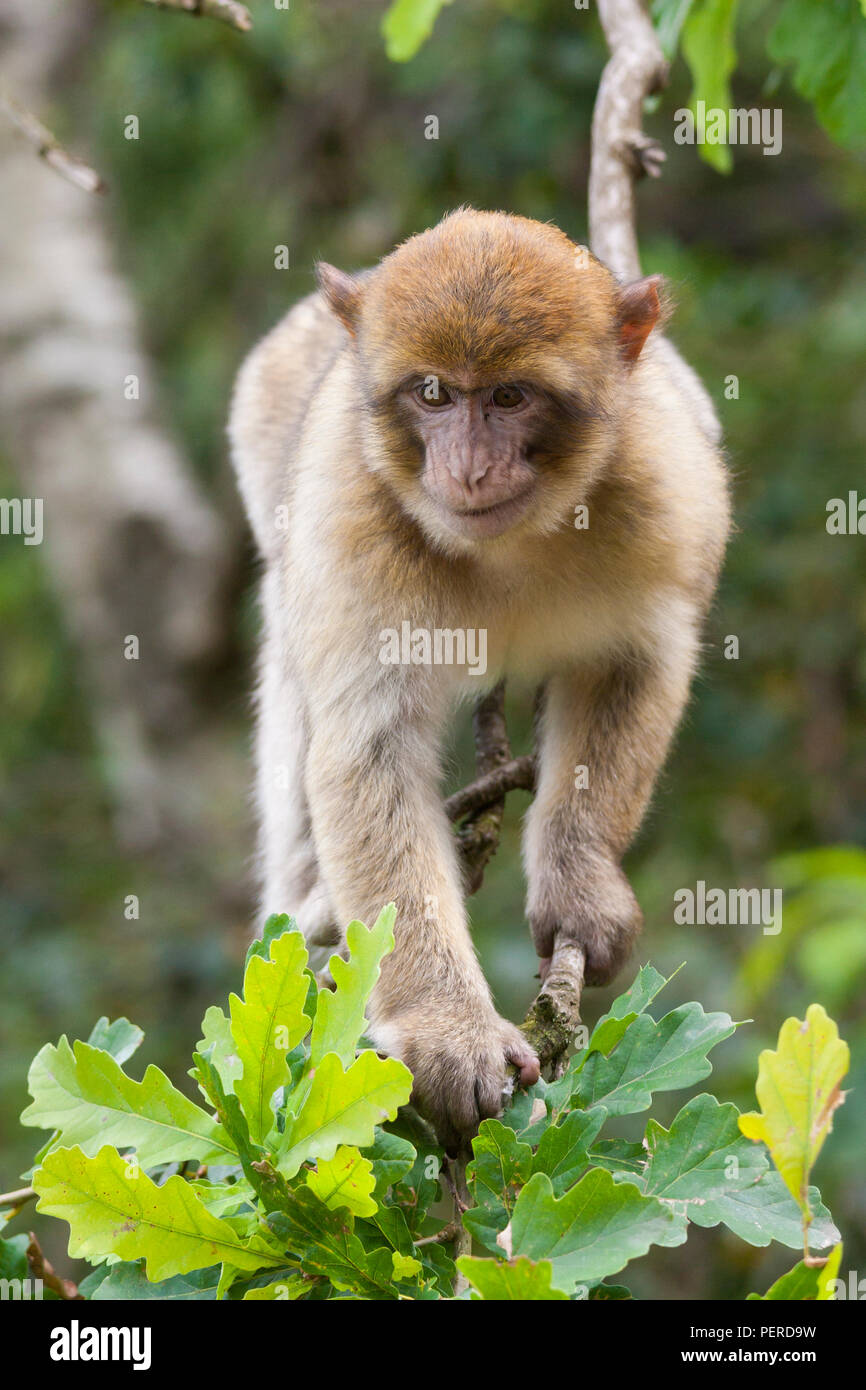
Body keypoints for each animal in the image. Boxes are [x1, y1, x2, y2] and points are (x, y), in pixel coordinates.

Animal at [226, 208, 728, 1150]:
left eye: (508, 397)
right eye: (432, 395)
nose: (465, 469)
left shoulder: (666, 490)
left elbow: (636, 663)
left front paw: (580, 881)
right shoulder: (351, 518)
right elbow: (366, 750)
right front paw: (446, 1030)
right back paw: (307, 907)